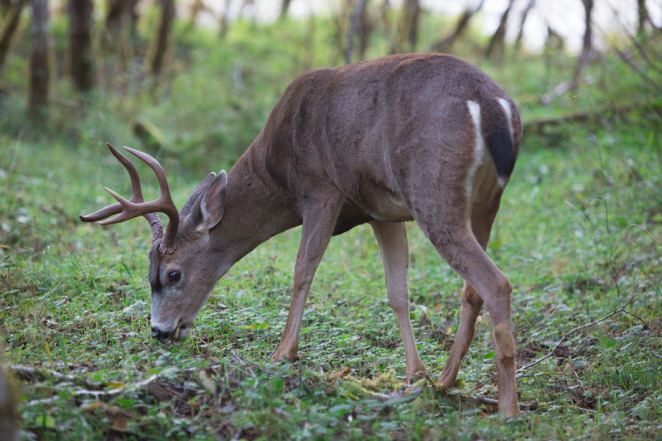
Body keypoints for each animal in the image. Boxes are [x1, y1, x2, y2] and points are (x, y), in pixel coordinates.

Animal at [80, 52, 524, 416]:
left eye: (173, 274)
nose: (160, 331)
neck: (277, 171)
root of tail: (490, 104)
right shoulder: (382, 211)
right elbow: (398, 291)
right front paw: (414, 374)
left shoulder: (320, 189)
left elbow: (302, 270)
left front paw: (282, 353)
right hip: (485, 200)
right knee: (472, 289)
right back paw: (446, 381)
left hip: (432, 189)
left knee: (496, 282)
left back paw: (507, 411)